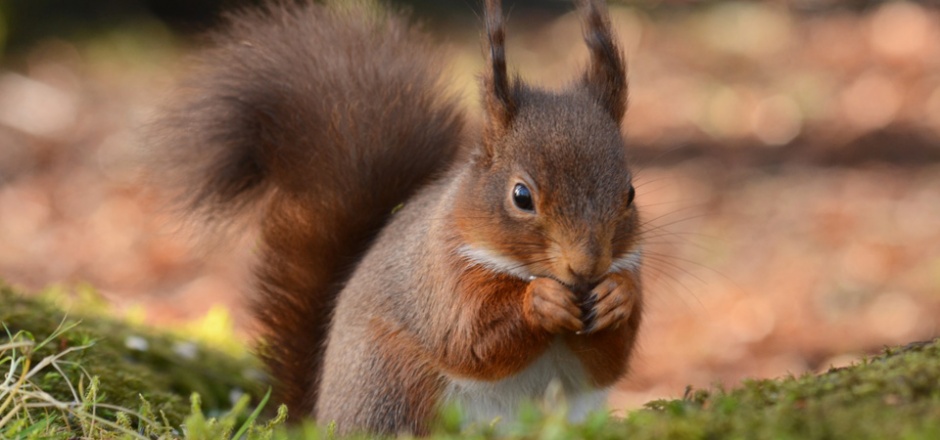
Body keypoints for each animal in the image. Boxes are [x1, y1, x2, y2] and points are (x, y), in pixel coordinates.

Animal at [149, 0, 648, 434]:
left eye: (629, 193)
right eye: (521, 196)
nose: (588, 267)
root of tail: (322, 417)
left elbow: (612, 360)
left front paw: (616, 298)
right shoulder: (441, 279)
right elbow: (469, 342)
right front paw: (541, 301)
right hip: (393, 384)